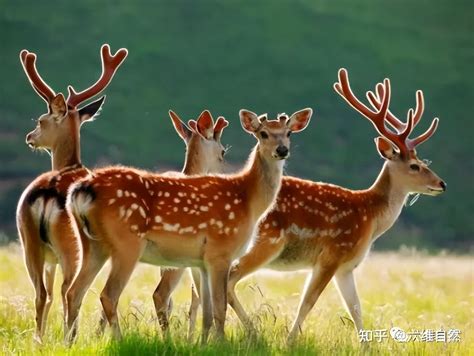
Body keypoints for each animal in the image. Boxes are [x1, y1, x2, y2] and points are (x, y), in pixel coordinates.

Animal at [15, 44, 127, 342]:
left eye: (41, 120)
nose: (29, 137)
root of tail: (46, 194)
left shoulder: (49, 259)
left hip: (30, 242)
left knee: (43, 294)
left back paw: (40, 340)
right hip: (72, 246)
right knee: (68, 291)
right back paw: (70, 338)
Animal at [65, 109, 312, 342]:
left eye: (289, 133)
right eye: (263, 133)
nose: (282, 150)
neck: (248, 201)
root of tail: (82, 190)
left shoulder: (202, 262)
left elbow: (207, 311)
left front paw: (205, 344)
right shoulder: (221, 251)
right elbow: (219, 308)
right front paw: (221, 345)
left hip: (91, 243)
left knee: (73, 292)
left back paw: (69, 342)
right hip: (127, 243)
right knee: (109, 295)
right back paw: (120, 340)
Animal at [220, 68, 446, 340]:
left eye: (423, 161)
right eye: (414, 166)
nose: (442, 183)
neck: (369, 216)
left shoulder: (346, 267)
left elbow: (356, 308)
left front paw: (367, 345)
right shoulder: (332, 254)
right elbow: (308, 302)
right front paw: (289, 341)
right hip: (264, 243)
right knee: (228, 280)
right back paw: (251, 333)